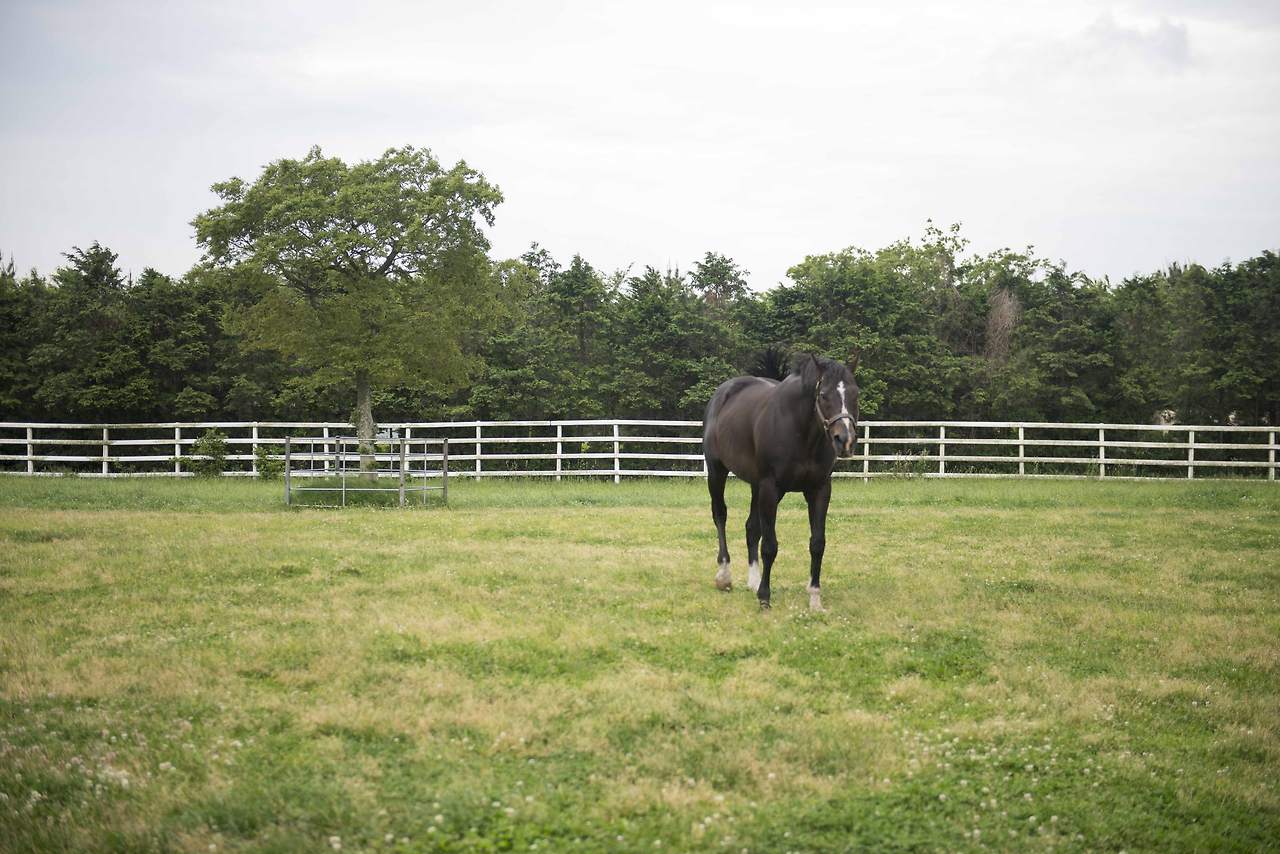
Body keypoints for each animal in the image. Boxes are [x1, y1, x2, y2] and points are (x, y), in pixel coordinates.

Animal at [702, 353, 859, 610]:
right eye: (823, 395)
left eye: (855, 394)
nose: (844, 440)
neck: (801, 432)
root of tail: (723, 393)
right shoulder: (770, 487)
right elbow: (769, 546)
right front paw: (765, 597)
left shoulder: (819, 489)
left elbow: (817, 543)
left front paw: (815, 598)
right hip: (717, 472)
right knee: (720, 515)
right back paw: (724, 575)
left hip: (756, 486)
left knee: (751, 527)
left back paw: (753, 581)